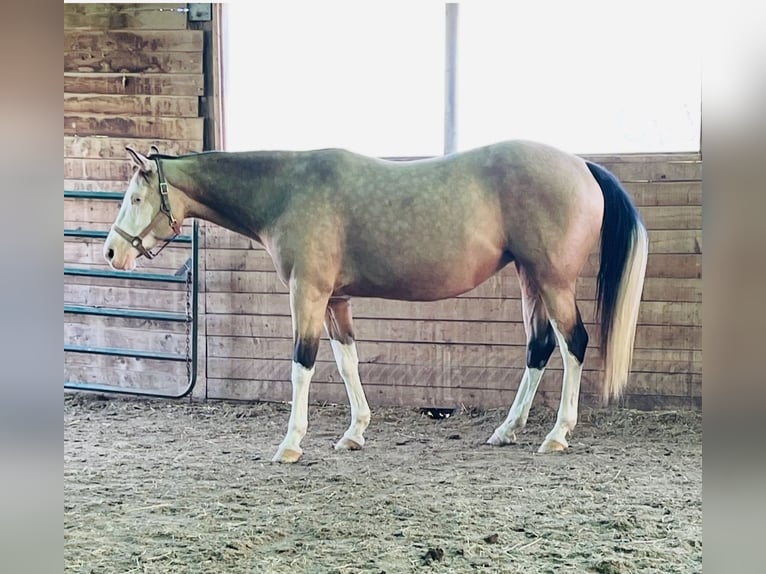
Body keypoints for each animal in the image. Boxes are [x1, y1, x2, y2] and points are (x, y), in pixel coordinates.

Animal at [103, 140, 648, 463]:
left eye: (135, 197)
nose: (111, 252)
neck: (287, 190)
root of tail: (581, 165)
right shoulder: (335, 300)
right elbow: (348, 364)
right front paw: (355, 432)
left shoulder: (307, 293)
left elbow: (302, 366)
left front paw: (291, 443)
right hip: (530, 279)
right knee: (539, 347)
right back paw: (507, 429)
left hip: (553, 281)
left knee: (574, 344)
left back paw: (557, 434)